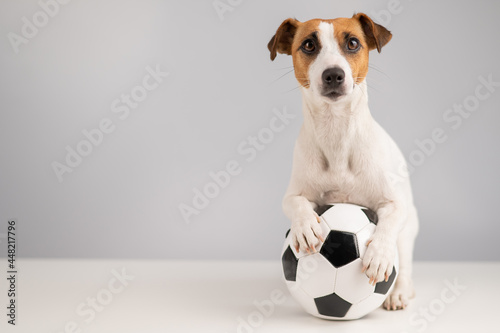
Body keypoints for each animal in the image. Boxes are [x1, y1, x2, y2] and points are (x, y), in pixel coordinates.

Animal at [270, 12, 418, 308]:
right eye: (308, 45)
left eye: (352, 43)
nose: (333, 74)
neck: (336, 131)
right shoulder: (293, 194)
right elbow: (297, 204)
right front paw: (305, 226)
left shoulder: (394, 203)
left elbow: (388, 224)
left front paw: (379, 255)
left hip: (410, 228)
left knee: (405, 263)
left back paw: (398, 292)